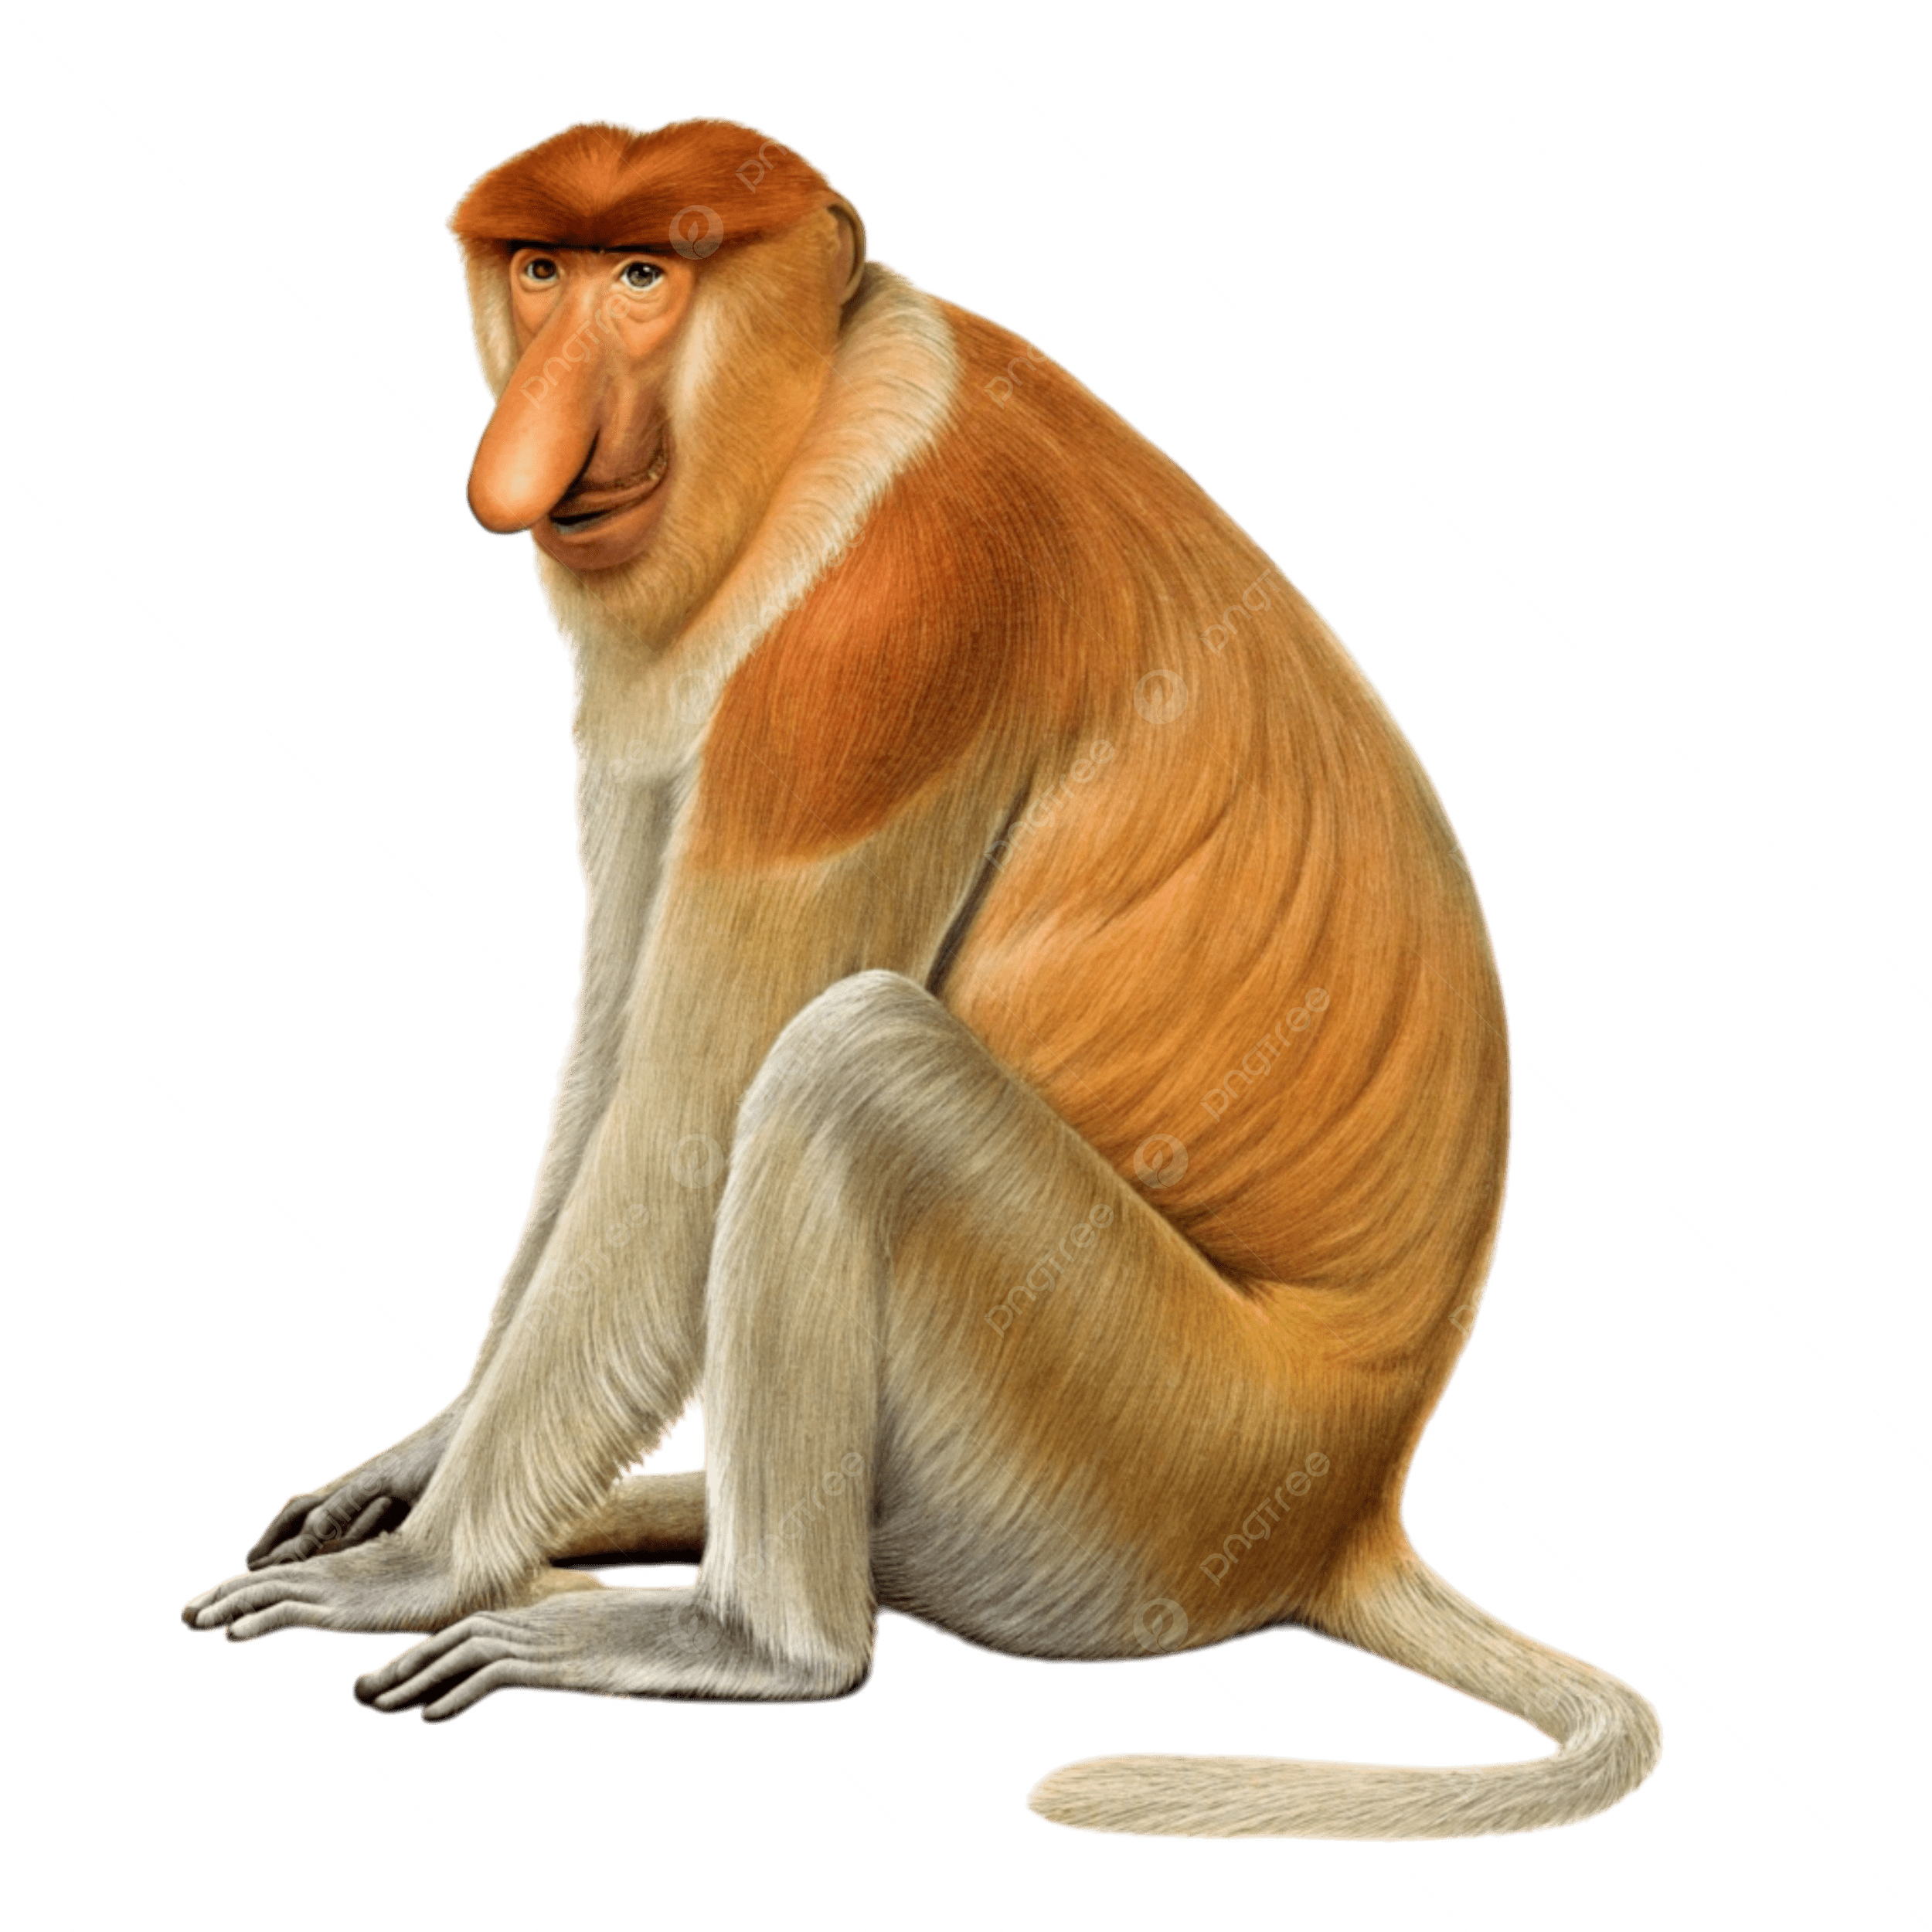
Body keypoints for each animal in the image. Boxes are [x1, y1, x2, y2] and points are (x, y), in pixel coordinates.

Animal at [180, 114, 1663, 1843]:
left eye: (645, 278)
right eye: (539, 269)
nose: (529, 440)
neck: (820, 418)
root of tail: (1349, 1504)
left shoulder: (881, 635)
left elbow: (684, 1122)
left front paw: (415, 1564)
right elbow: (611, 1055)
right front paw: (415, 1465)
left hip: (1145, 1450)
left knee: (853, 1064)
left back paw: (746, 1633)